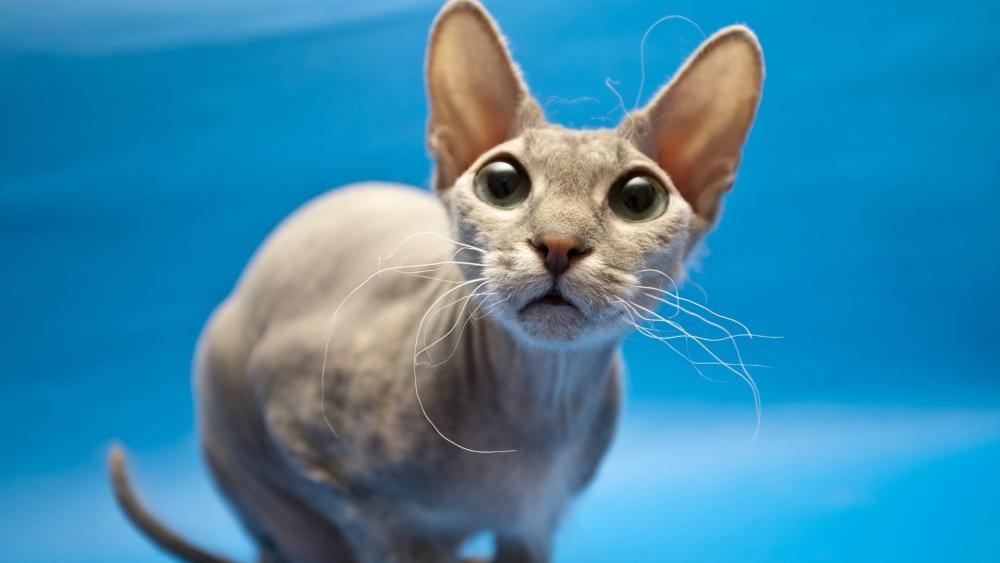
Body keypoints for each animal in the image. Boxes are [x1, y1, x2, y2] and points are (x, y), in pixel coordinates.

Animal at [109, 1, 760, 563]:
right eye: (503, 184)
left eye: (638, 198)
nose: (558, 243)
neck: (534, 417)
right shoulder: (325, 464)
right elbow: (389, 540)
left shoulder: (535, 523)